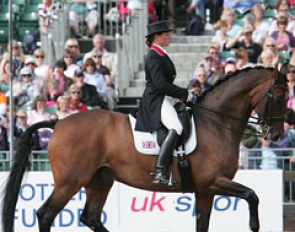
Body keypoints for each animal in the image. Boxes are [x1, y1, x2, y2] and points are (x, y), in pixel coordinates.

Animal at [1, 65, 290, 232]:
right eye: (277, 96)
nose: (276, 134)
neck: (216, 123)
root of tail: (58, 123)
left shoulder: (205, 190)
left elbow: (204, 224)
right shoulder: (213, 181)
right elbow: (252, 195)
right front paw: (254, 225)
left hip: (99, 180)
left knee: (90, 217)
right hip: (71, 181)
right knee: (46, 214)